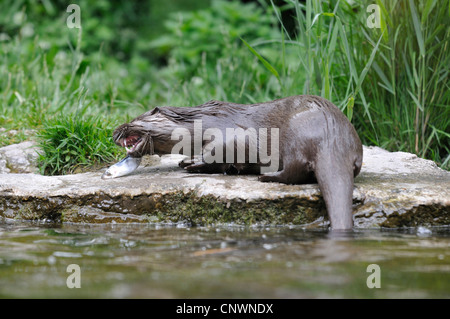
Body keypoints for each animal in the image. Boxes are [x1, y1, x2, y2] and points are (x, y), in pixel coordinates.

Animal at [111, 95, 362, 230]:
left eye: (132, 120)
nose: (113, 132)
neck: (198, 121)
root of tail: (334, 138)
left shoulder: (231, 131)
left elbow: (227, 148)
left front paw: (193, 161)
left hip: (295, 133)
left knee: (295, 168)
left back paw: (266, 176)